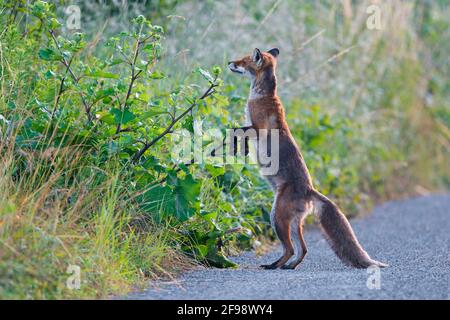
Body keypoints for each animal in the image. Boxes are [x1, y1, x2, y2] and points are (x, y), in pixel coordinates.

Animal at [229, 48, 386, 270]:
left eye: (243, 60)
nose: (229, 62)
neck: (263, 96)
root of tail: (309, 190)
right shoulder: (251, 127)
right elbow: (236, 130)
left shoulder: (257, 128)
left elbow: (235, 129)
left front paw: (237, 147)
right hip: (292, 222)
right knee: (303, 249)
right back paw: (289, 266)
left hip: (277, 217)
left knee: (290, 249)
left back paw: (274, 266)